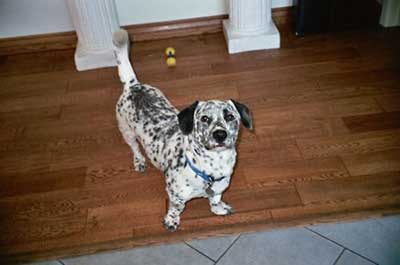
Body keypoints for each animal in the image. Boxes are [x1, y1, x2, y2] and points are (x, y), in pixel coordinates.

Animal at [111, 28, 253, 230]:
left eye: (230, 117)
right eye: (204, 118)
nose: (220, 134)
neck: (213, 167)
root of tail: (133, 85)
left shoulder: (219, 188)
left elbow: (215, 199)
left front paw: (218, 208)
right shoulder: (176, 195)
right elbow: (175, 209)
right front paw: (172, 220)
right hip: (126, 131)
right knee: (134, 148)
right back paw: (139, 161)